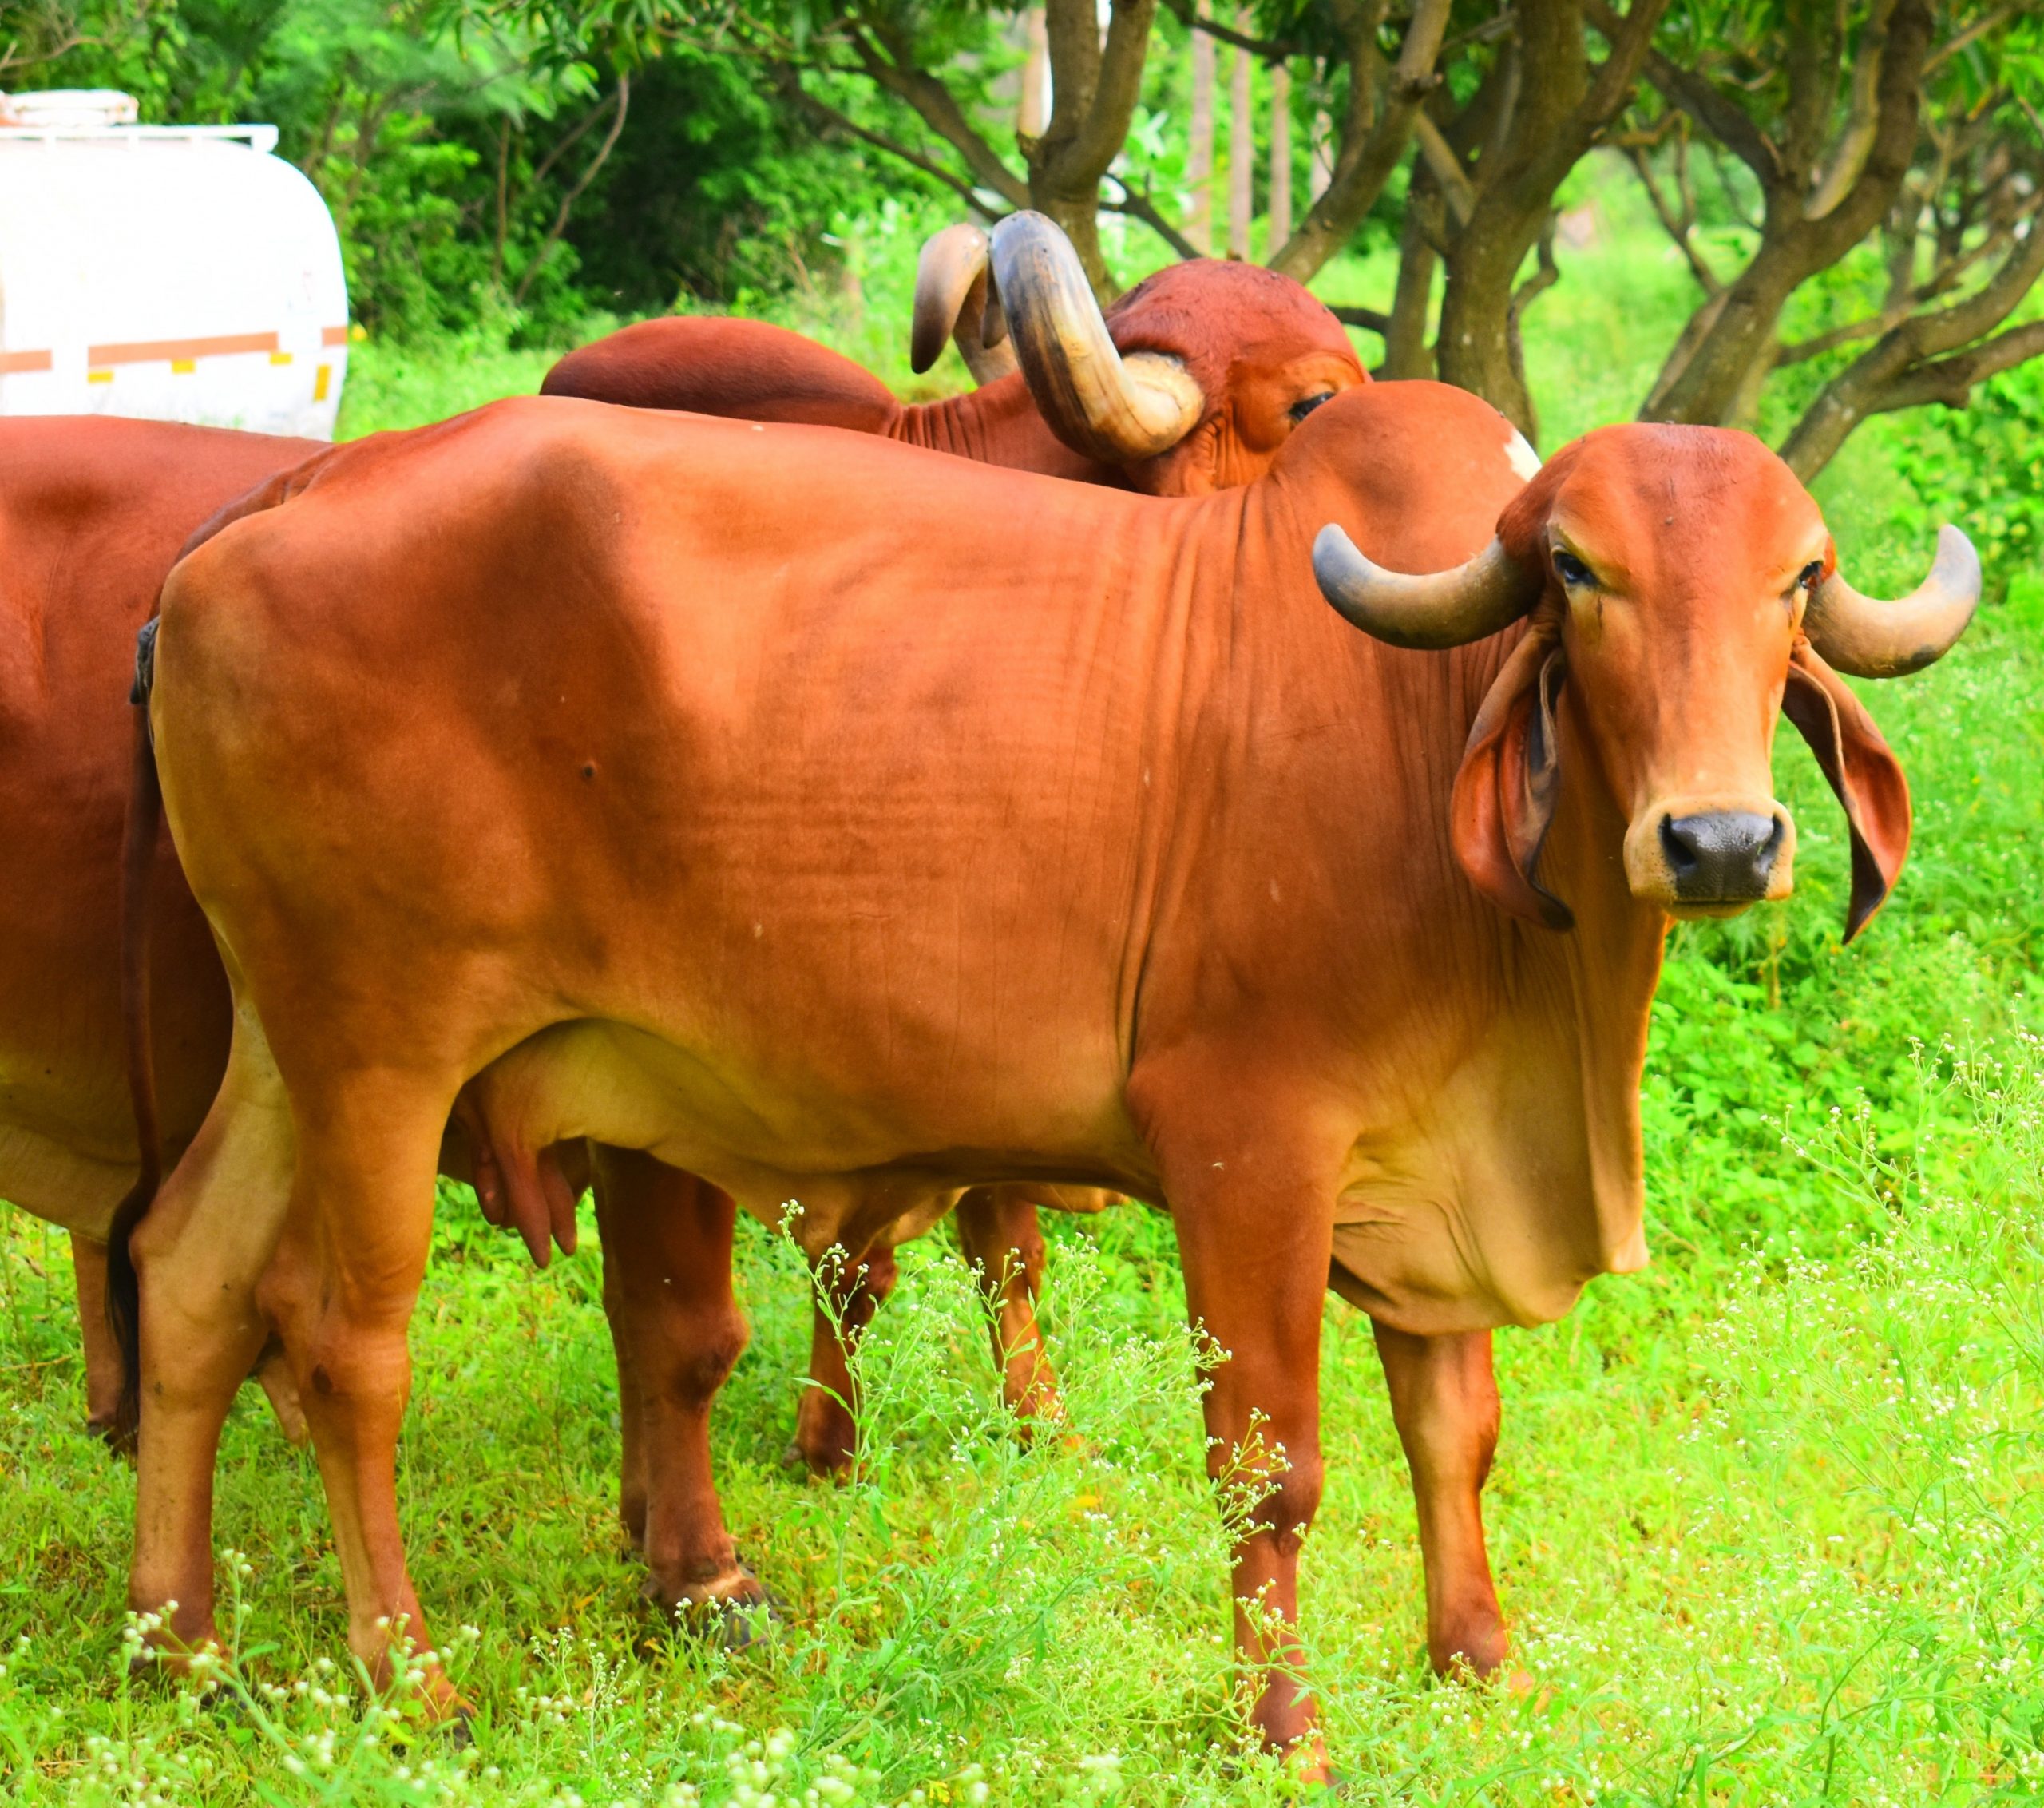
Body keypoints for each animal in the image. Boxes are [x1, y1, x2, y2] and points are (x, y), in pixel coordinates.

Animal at [119, 380, 1970, 1766]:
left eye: (1798, 578)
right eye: (1578, 572)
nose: (1719, 839)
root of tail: (271, 503)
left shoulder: (1429, 1172)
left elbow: (1455, 1432)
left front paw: (1479, 1663)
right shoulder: (1247, 1146)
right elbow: (1274, 1466)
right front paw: (1283, 1727)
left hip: (284, 1040)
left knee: (189, 1273)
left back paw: (178, 1643)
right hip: (379, 1044)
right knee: (344, 1346)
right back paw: (404, 1676)